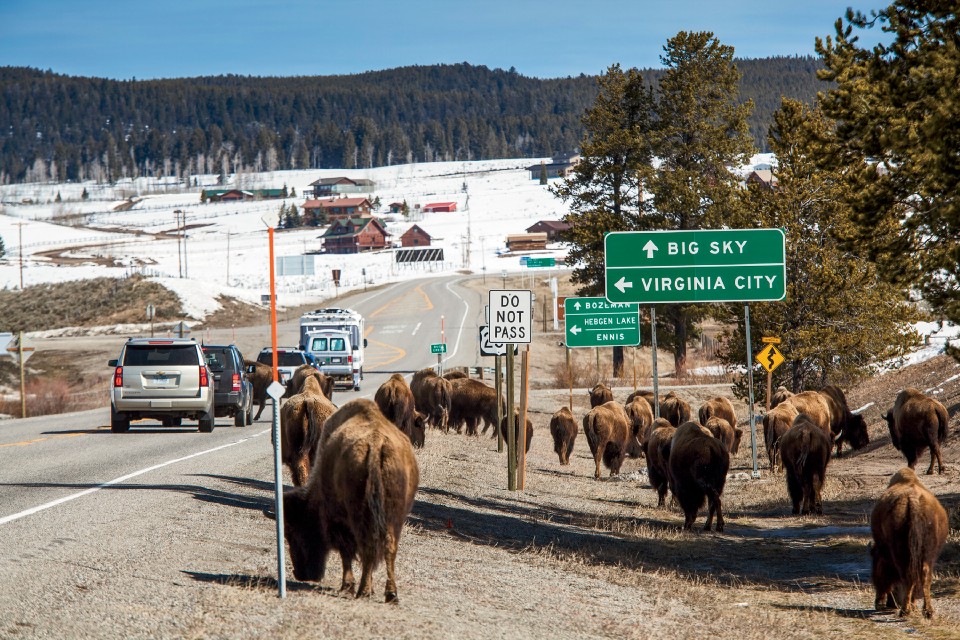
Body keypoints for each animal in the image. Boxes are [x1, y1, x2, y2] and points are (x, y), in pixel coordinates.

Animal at [282, 400, 424, 604]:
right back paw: (390, 594)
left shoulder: (338, 520)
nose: (301, 574)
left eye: (292, 531)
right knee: (388, 548)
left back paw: (363, 590)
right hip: (394, 517)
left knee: (367, 547)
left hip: (361, 517)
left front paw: (347, 585)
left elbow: (346, 552)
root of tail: (376, 444)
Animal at [868, 468, 948, 616]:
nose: (878, 603)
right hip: (927, 553)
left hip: (902, 553)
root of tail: (913, 500)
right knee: (923, 576)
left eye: (876, 566)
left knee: (908, 576)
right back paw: (927, 611)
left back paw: (905, 610)